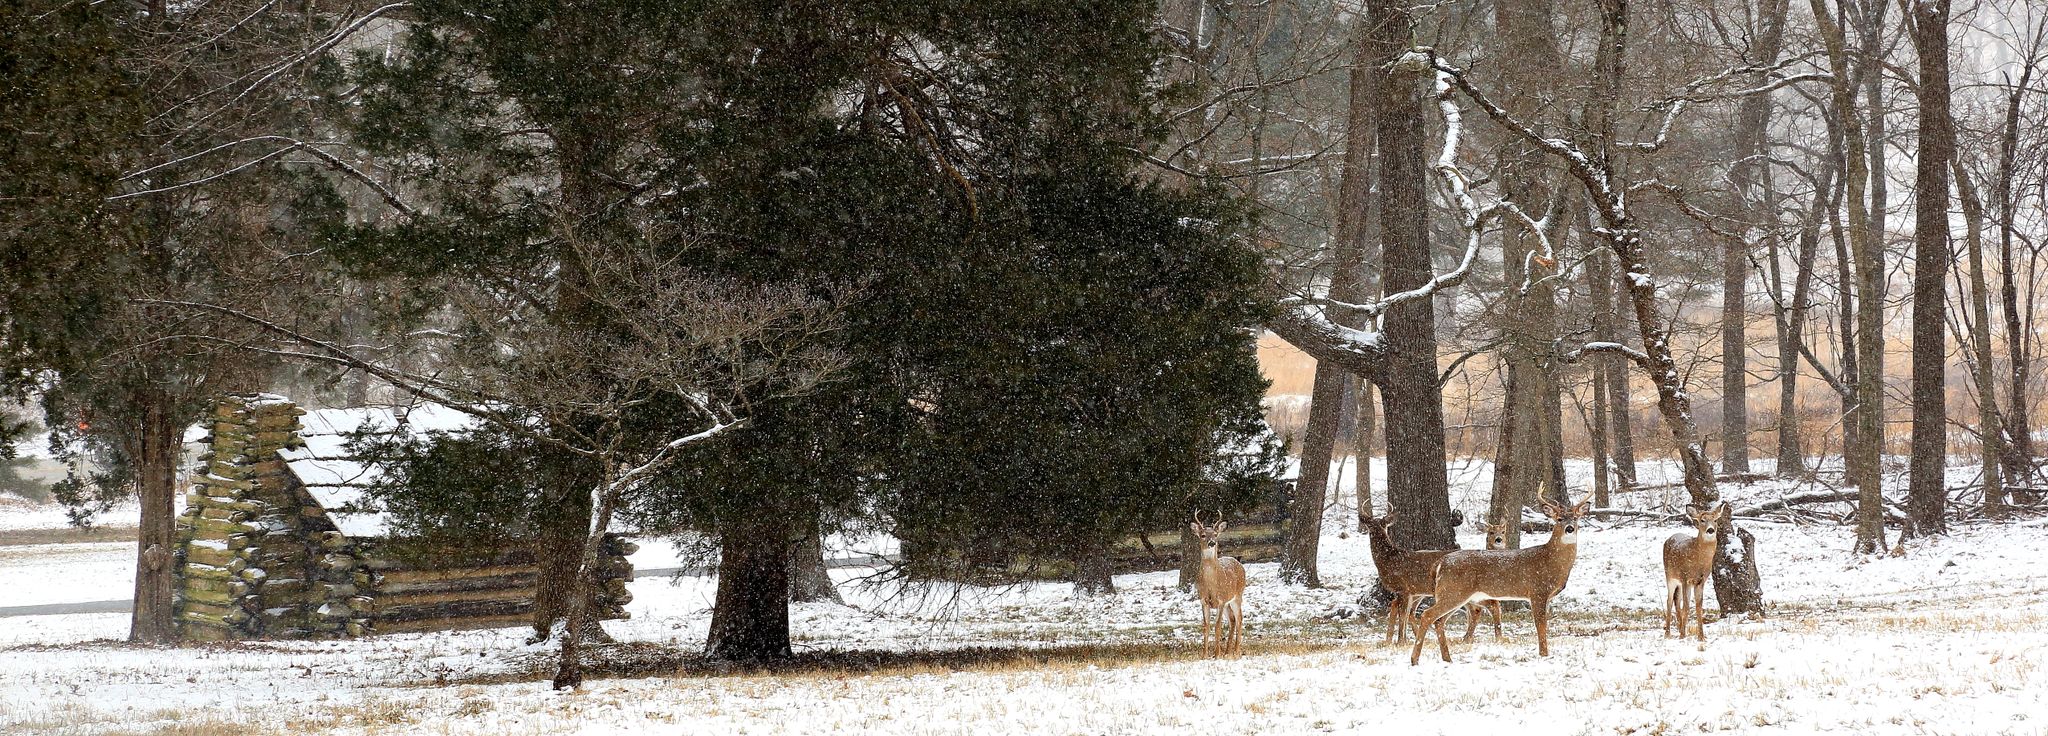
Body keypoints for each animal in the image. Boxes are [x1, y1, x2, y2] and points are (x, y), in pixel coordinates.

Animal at [1190, 512, 1247, 657]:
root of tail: (1237, 561)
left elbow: (1217, 626)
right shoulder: (1203, 601)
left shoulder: (1221, 600)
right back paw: (1228, 652)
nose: (1212, 542)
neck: (1211, 584)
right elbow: (1206, 626)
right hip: (1228, 603)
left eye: (1215, 534)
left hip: (1237, 596)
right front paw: (1204, 655)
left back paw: (1236, 651)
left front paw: (1216, 655)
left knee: (1239, 618)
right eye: (1203, 535)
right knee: (1232, 620)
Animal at [1409, 494, 1593, 665]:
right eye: (1559, 519)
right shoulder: (1537, 590)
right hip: (1453, 591)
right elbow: (1541, 624)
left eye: (1575, 518)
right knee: (1427, 615)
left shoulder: (1546, 596)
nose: (1570, 528)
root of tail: (1440, 563)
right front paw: (1544, 655)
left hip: (1454, 594)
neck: (1550, 560)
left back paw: (1447, 658)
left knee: (1439, 621)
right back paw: (1415, 660)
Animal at [1663, 503, 1728, 643]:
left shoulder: (1701, 581)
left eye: (1715, 520)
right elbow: (1687, 606)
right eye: (1702, 520)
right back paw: (1668, 633)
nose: (1710, 530)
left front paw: (1701, 636)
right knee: (1670, 600)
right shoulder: (1685, 577)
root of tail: (1670, 538)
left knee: (1677, 600)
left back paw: (1679, 628)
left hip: (1679, 582)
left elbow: (1698, 606)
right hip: (1670, 576)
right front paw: (1682, 636)